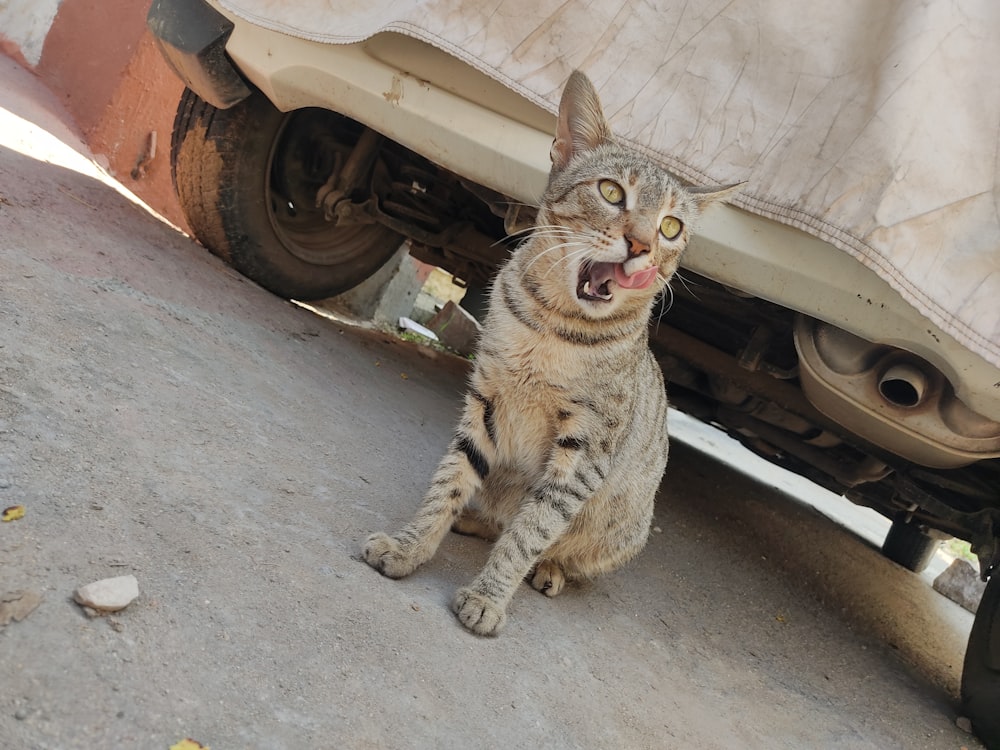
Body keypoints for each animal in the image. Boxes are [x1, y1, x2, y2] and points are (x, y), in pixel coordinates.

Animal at [364, 69, 740, 636]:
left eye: (671, 227)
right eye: (611, 191)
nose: (642, 245)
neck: (551, 326)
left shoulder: (584, 450)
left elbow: (532, 529)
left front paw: (489, 596)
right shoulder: (484, 405)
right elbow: (447, 485)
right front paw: (410, 547)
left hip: (623, 528)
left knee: (556, 546)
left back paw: (550, 570)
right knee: (497, 513)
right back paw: (475, 520)